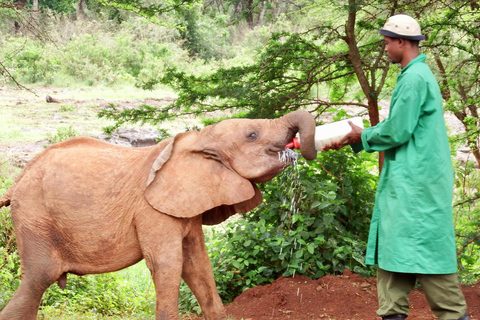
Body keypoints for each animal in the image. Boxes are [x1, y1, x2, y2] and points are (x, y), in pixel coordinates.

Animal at [0, 110, 318, 320]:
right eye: (252, 135)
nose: (297, 148)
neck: (199, 140)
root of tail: (16, 182)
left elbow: (197, 264)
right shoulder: (151, 210)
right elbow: (168, 264)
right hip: (34, 217)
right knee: (38, 279)